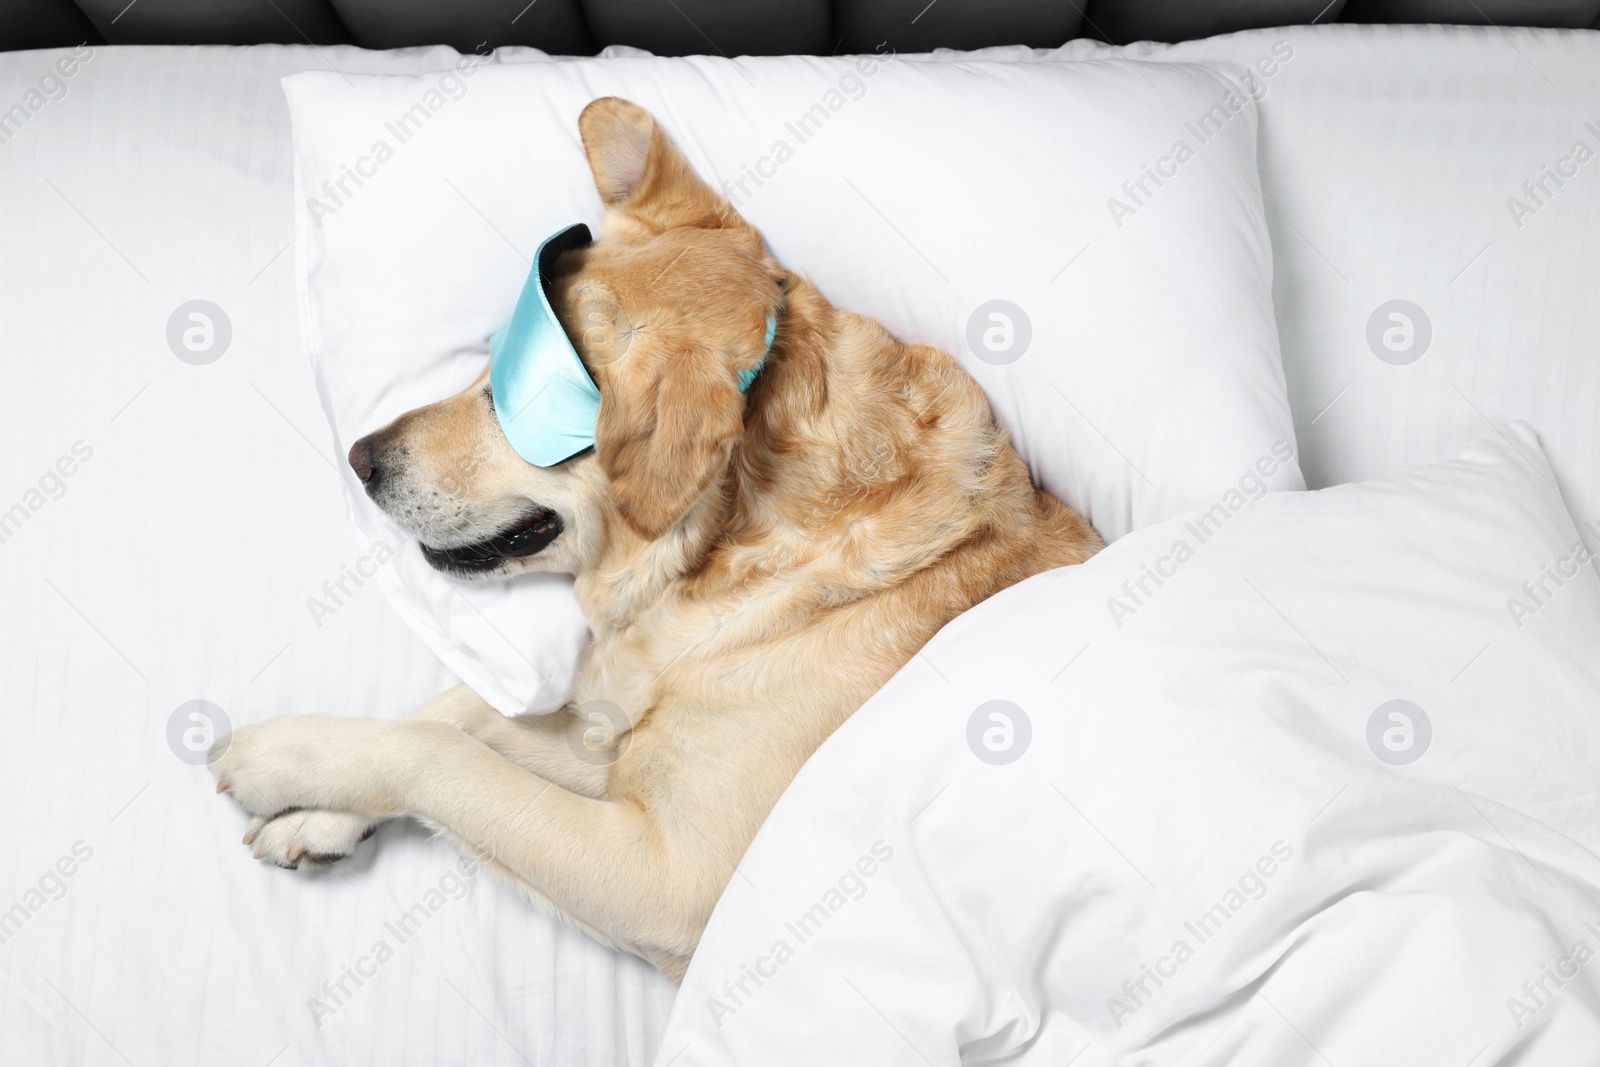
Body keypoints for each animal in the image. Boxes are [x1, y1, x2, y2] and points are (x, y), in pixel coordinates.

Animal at [212, 95, 1100, 979]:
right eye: (486, 363)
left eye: (509, 403)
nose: (360, 458)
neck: (728, 551)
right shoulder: (607, 732)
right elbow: (459, 714)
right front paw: (316, 812)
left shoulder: (666, 873)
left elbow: (445, 756)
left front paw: (278, 760)